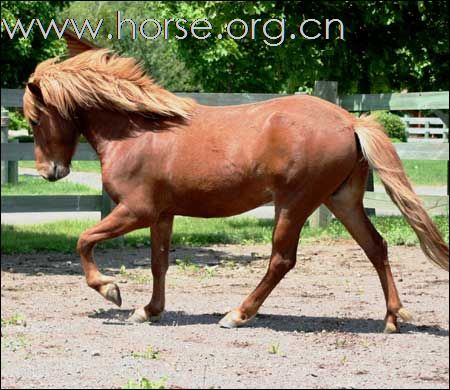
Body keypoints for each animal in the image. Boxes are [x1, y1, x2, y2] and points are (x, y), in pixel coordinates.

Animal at [23, 51, 446, 332]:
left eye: (34, 119)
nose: (49, 172)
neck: (138, 133)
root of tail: (350, 121)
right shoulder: (162, 214)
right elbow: (159, 263)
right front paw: (149, 310)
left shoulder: (135, 210)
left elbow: (83, 240)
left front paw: (110, 290)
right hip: (341, 201)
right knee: (376, 247)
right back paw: (392, 317)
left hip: (294, 204)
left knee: (281, 260)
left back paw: (237, 314)